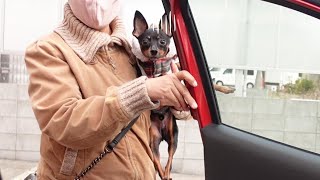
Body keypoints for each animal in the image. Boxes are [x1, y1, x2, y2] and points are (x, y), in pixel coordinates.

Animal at [132, 10, 178, 180]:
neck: (154, 65)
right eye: (145, 41)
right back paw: (163, 174)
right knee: (158, 161)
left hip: (173, 137)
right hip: (154, 141)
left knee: (169, 159)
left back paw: (167, 174)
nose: (153, 50)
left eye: (162, 42)